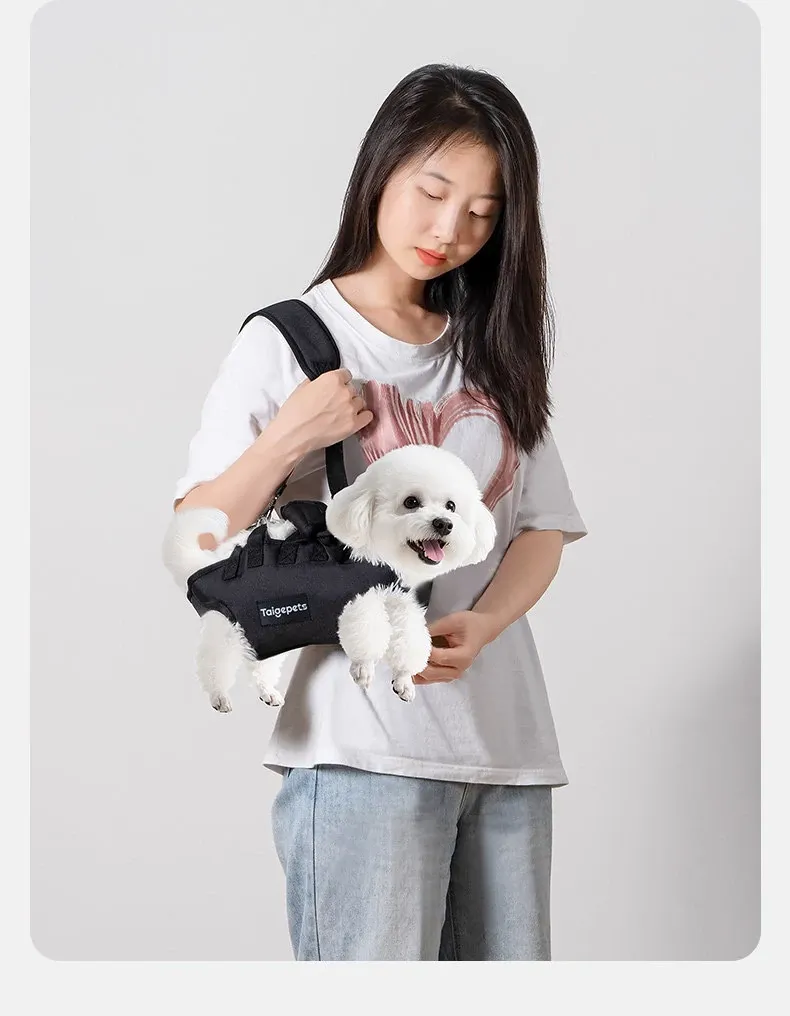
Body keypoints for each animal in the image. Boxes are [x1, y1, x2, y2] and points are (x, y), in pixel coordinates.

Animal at [162, 444, 496, 710]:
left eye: (451, 506)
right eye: (411, 502)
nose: (444, 523)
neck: (377, 555)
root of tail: (204, 561)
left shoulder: (397, 603)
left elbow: (409, 640)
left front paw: (403, 679)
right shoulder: (361, 602)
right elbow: (368, 636)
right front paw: (363, 669)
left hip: (265, 632)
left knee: (259, 662)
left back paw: (267, 691)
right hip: (226, 627)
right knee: (214, 663)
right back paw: (219, 696)